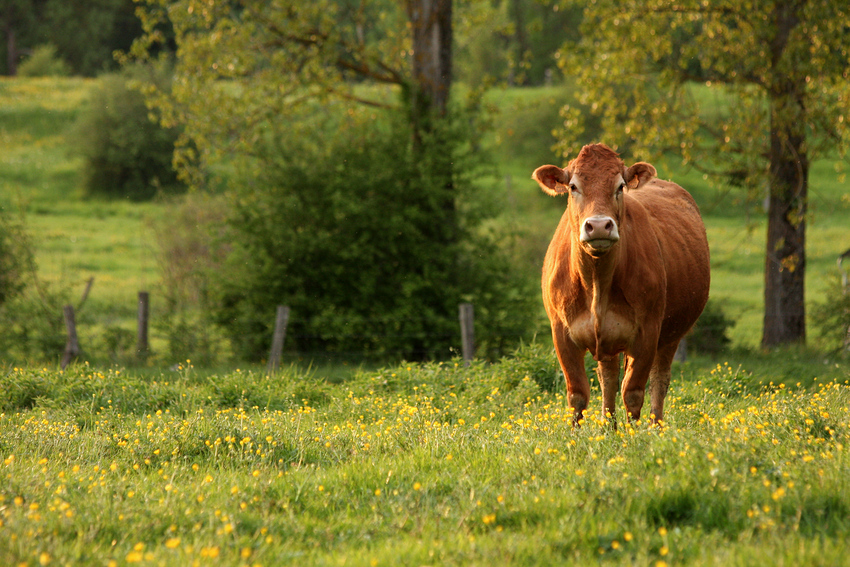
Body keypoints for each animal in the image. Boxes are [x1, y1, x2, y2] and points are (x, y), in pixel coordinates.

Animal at [532, 144, 704, 424]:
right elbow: (577, 395)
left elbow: (633, 393)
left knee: (659, 380)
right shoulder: (561, 333)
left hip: (672, 334)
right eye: (573, 186)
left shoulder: (647, 332)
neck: (596, 283)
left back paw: (655, 427)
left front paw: (633, 434)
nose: (599, 225)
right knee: (608, 378)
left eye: (620, 186)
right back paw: (607, 427)